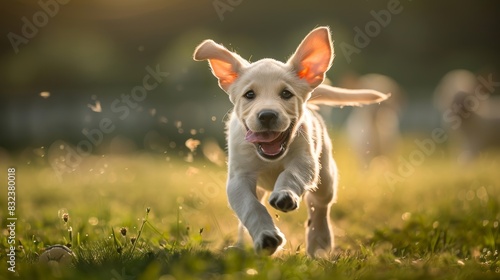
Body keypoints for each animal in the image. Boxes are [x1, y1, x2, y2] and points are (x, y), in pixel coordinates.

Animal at [193, 26, 388, 258]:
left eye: (286, 94)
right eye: (249, 95)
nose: (267, 115)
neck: (269, 159)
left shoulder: (305, 162)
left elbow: (291, 175)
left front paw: (285, 195)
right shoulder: (238, 179)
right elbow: (251, 208)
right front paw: (266, 237)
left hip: (326, 176)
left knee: (319, 206)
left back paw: (319, 243)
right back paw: (242, 246)